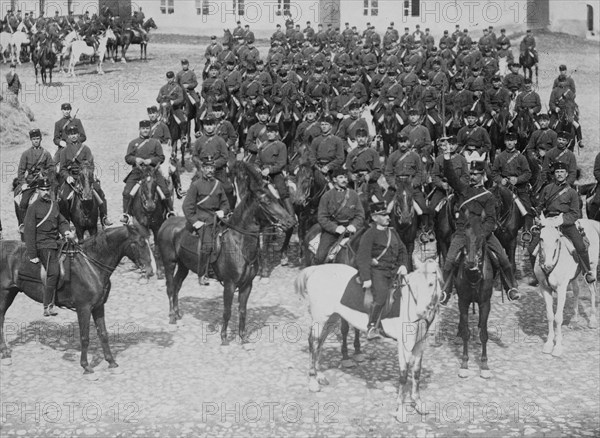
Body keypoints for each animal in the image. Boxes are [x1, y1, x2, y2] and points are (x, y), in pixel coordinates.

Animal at [0, 217, 155, 374]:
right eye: (140, 243)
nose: (150, 271)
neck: (91, 265)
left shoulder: (98, 306)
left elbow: (103, 334)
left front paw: (111, 362)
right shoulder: (83, 308)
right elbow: (85, 337)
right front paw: (86, 366)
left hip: (11, 292)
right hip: (4, 294)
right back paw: (6, 354)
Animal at [156, 163, 294, 344]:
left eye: (276, 198)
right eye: (266, 201)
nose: (291, 221)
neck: (239, 244)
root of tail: (167, 222)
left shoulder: (247, 285)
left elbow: (242, 311)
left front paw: (243, 339)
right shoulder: (229, 285)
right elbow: (227, 311)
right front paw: (224, 339)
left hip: (184, 266)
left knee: (177, 286)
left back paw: (178, 316)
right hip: (169, 263)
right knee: (170, 287)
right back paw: (172, 318)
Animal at [292, 258, 442, 422]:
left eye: (431, 284)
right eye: (415, 285)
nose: (421, 312)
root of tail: (316, 269)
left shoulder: (420, 344)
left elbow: (416, 372)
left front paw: (418, 403)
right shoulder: (405, 346)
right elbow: (403, 375)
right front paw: (401, 410)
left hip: (331, 318)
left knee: (320, 343)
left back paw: (319, 375)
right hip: (320, 320)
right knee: (313, 343)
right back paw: (313, 381)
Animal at [536, 217, 600, 358]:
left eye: (556, 239)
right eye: (541, 238)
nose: (548, 265)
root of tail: (591, 221)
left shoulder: (561, 289)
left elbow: (558, 318)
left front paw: (557, 347)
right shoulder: (545, 288)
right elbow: (550, 316)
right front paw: (548, 344)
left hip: (592, 269)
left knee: (592, 291)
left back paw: (592, 320)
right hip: (574, 276)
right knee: (576, 290)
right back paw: (574, 320)